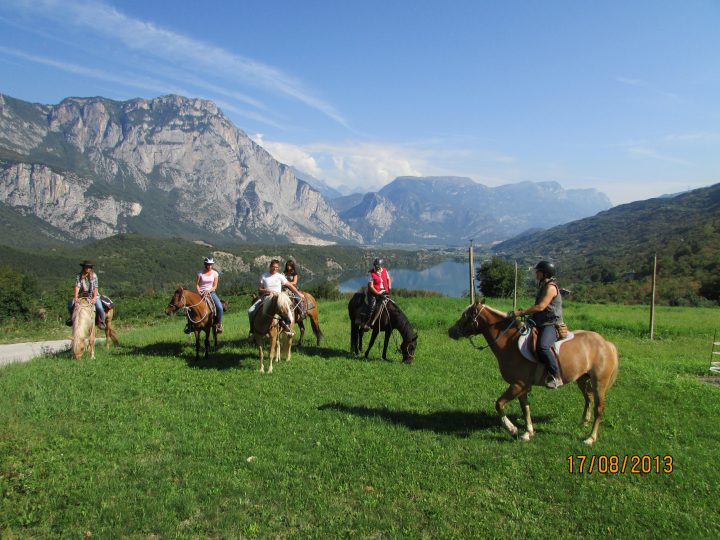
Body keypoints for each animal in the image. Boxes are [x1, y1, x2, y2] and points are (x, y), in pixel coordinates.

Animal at [448, 302, 616, 446]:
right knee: (588, 398)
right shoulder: (521, 386)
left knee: (599, 408)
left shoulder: (518, 385)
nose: (451, 331)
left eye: (466, 316)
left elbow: (499, 403)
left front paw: (512, 429)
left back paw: (590, 438)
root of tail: (605, 343)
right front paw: (528, 433)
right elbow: (525, 408)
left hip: (599, 383)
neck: (509, 342)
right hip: (582, 379)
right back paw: (583, 423)